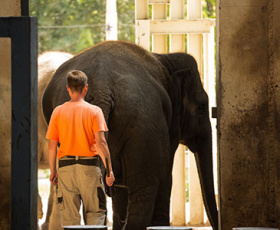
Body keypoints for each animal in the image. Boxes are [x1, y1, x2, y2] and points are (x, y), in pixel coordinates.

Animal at [42, 40, 219, 229]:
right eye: (201, 108)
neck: (164, 58)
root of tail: (101, 87)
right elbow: (165, 175)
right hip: (144, 127)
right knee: (144, 191)